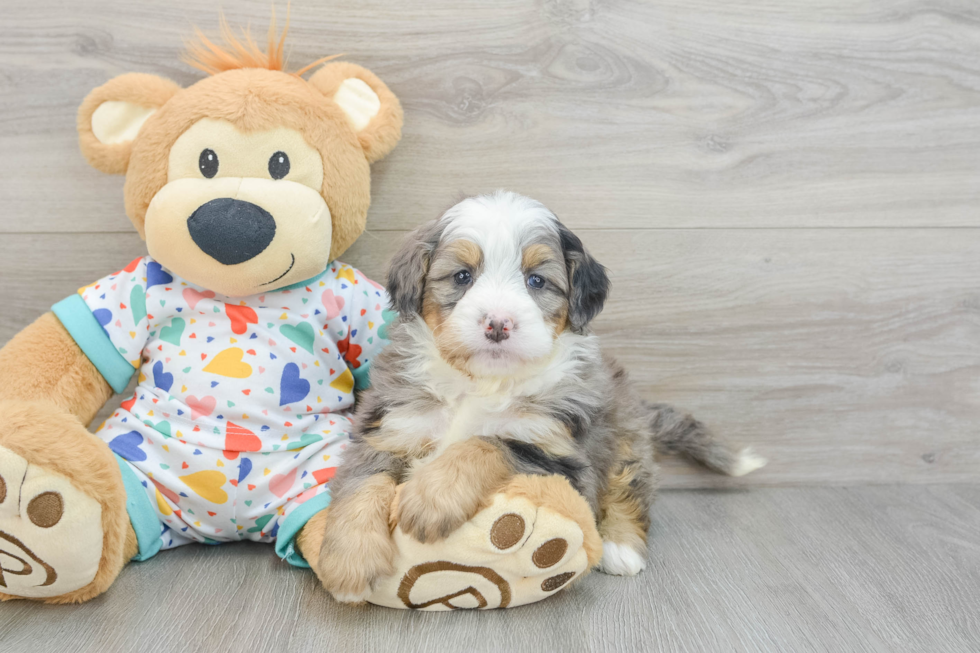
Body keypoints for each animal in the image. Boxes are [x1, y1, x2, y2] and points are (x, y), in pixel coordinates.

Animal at [318, 190, 760, 600]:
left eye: (536, 280)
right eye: (462, 276)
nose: (498, 323)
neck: (482, 382)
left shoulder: (558, 454)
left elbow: (488, 442)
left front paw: (432, 495)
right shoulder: (391, 425)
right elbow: (363, 483)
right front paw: (350, 562)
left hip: (623, 438)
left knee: (629, 486)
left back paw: (621, 546)